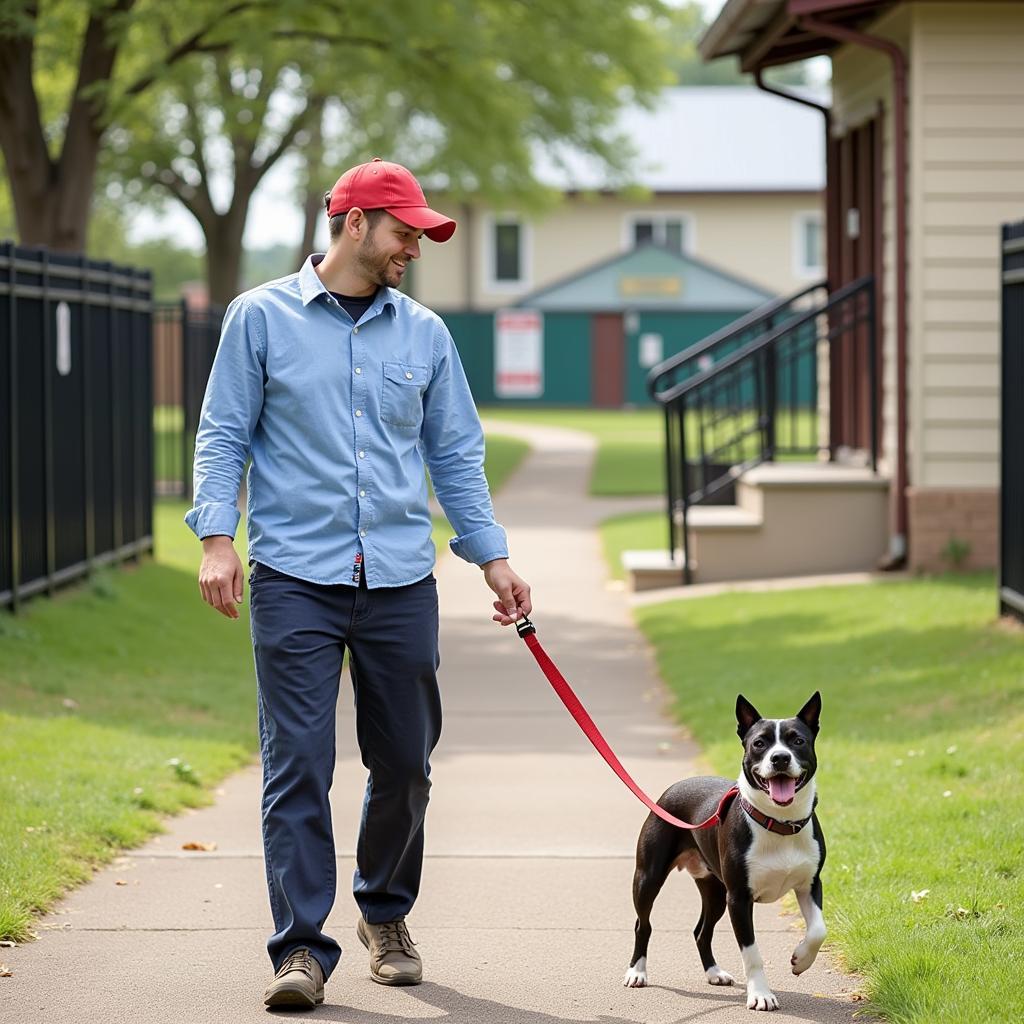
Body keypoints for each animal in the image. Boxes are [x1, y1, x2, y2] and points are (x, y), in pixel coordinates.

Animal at [618, 692, 827, 1011]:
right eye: (760, 743)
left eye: (798, 740)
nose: (780, 757)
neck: (778, 823)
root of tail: (675, 787)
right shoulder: (739, 898)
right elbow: (752, 952)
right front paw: (761, 995)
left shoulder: (810, 884)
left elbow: (818, 930)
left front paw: (800, 960)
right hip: (648, 878)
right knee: (644, 924)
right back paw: (637, 972)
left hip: (715, 890)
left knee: (701, 931)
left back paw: (714, 973)